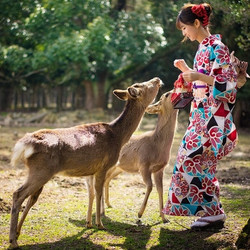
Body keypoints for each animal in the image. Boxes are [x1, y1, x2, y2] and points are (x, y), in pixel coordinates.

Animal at [8, 76, 161, 248]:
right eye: (145, 85)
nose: (157, 79)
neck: (118, 136)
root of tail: (25, 144)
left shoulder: (91, 170)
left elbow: (91, 194)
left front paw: (89, 223)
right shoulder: (104, 166)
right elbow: (99, 193)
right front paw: (100, 224)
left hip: (39, 171)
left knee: (30, 198)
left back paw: (18, 233)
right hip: (41, 170)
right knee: (18, 194)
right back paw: (13, 240)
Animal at [103, 91, 178, 223]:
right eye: (166, 95)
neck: (156, 145)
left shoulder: (160, 168)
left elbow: (160, 189)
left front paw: (164, 218)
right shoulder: (143, 164)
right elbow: (150, 186)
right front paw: (139, 214)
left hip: (118, 168)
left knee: (107, 179)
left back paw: (109, 204)